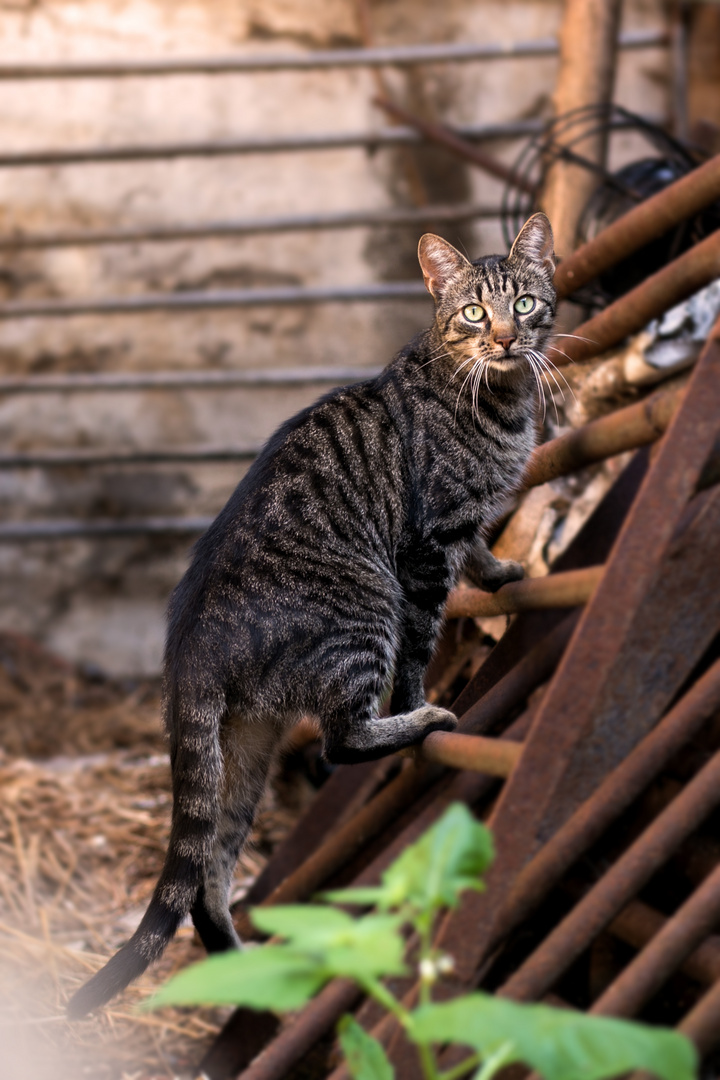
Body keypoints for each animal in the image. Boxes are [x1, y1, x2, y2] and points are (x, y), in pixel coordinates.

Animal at [69, 214, 557, 1015]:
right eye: (473, 313)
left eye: (522, 304)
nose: (505, 340)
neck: (500, 396)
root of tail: (185, 648)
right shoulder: (427, 546)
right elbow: (423, 645)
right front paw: (423, 701)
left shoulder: (462, 526)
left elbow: (484, 549)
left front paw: (503, 571)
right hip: (364, 613)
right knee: (343, 739)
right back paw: (417, 723)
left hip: (244, 752)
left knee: (207, 878)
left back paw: (250, 972)